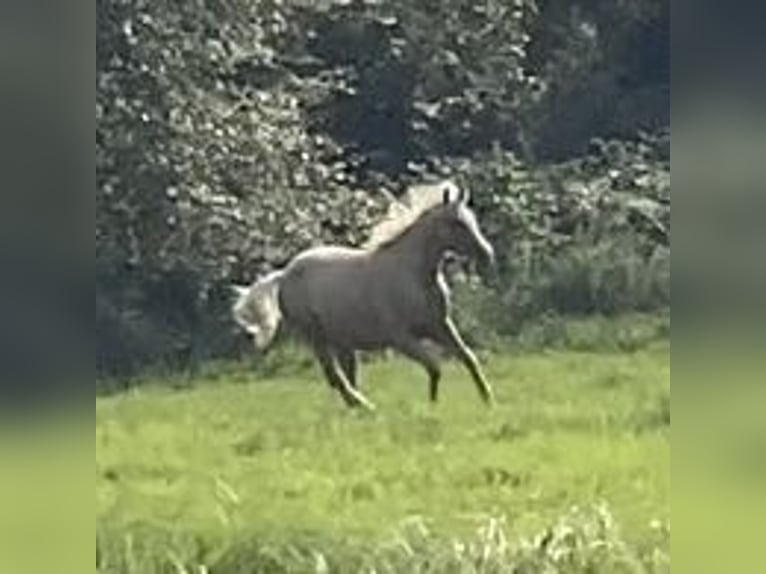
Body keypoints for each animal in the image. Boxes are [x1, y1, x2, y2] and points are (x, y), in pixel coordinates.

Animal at [234, 180, 498, 410]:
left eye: (472, 220)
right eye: (457, 223)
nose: (487, 255)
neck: (415, 275)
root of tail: (284, 274)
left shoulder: (440, 326)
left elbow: (469, 358)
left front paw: (488, 401)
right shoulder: (400, 338)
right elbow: (435, 366)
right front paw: (433, 406)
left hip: (343, 342)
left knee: (346, 377)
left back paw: (357, 409)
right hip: (316, 337)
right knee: (336, 377)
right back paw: (366, 407)